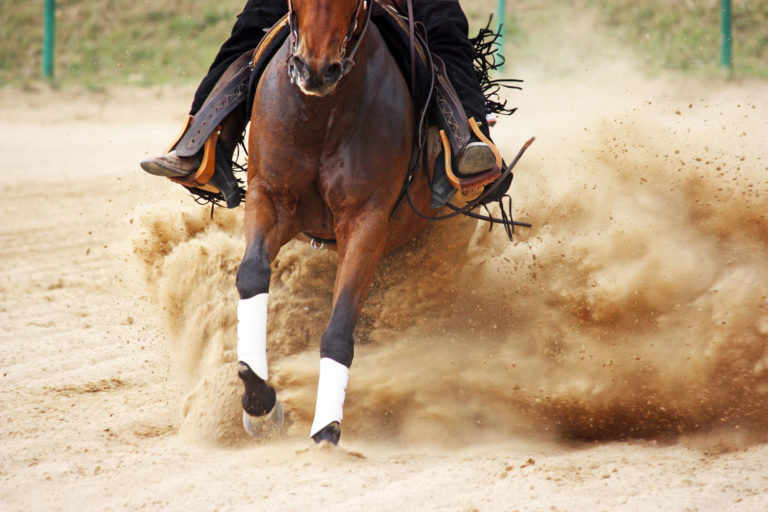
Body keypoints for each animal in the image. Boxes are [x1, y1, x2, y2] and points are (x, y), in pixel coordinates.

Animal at [234, 0, 440, 444]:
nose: (315, 70)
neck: (323, 115)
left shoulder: (366, 221)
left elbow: (340, 327)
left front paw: (326, 428)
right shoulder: (269, 197)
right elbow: (252, 275)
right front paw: (259, 400)